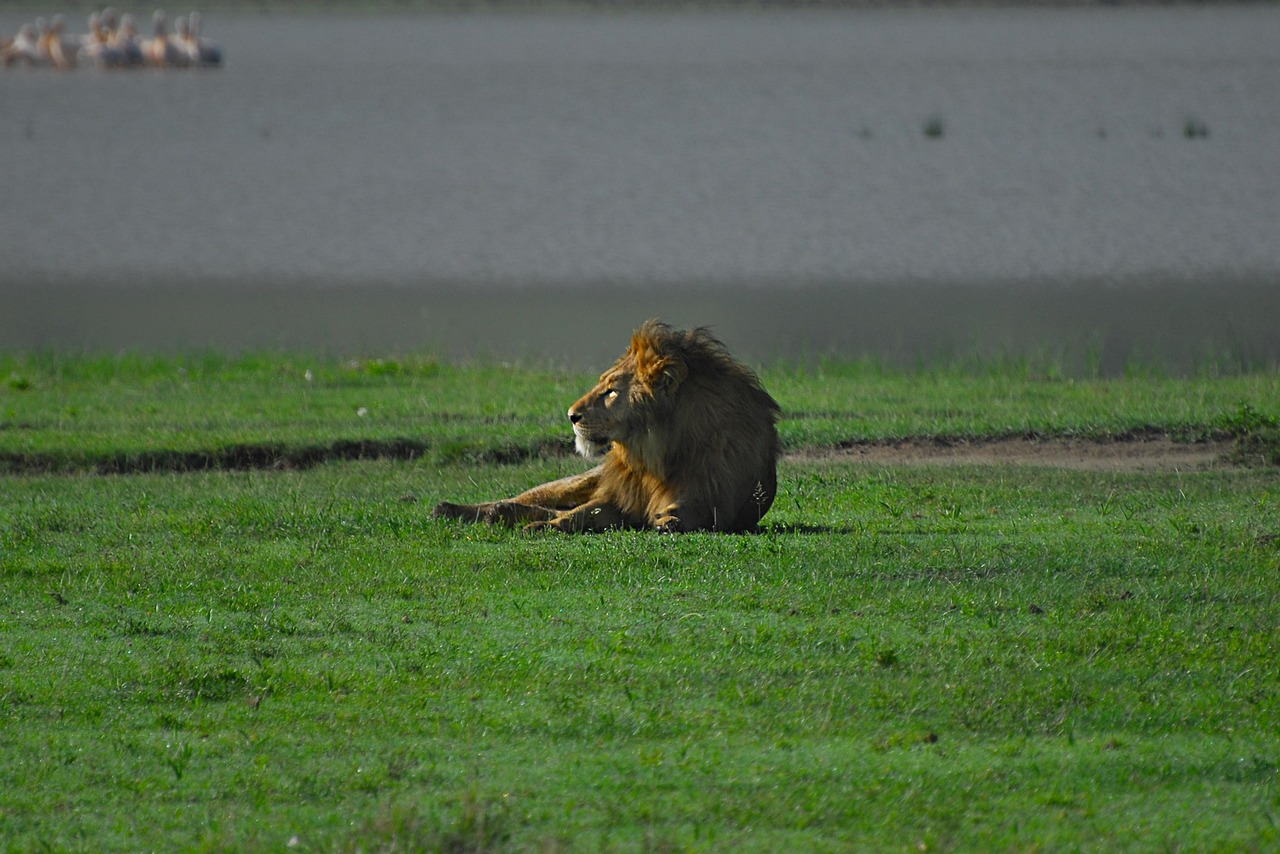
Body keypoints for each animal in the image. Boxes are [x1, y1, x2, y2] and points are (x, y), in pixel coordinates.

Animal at [432, 320, 782, 533]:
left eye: (611, 391)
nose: (571, 415)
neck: (655, 455)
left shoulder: (715, 498)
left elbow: (690, 511)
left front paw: (669, 520)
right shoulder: (617, 498)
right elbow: (577, 514)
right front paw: (541, 528)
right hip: (577, 481)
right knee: (529, 499)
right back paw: (453, 509)